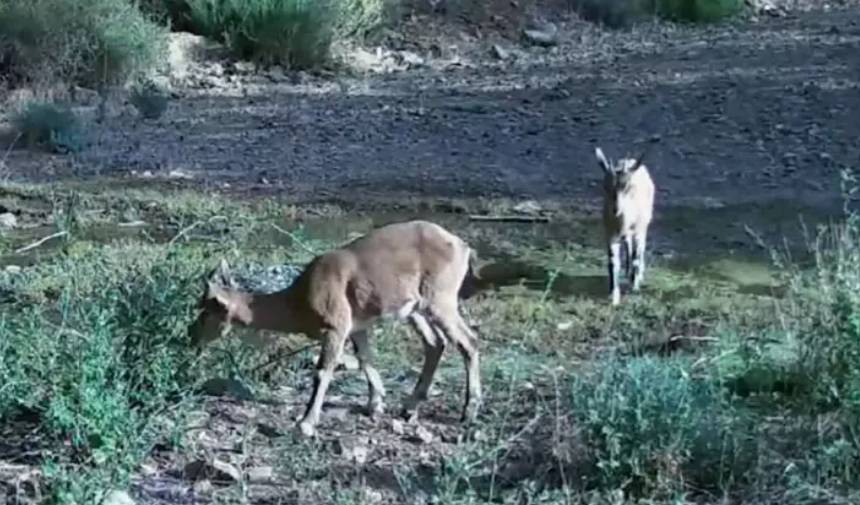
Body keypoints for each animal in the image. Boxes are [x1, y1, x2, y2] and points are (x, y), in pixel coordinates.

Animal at [188, 219, 480, 436]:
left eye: (206, 312)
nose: (191, 337)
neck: (298, 302)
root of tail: (463, 247)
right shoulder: (357, 326)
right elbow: (365, 359)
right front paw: (375, 404)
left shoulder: (335, 326)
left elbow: (322, 371)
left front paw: (305, 423)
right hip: (416, 309)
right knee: (436, 343)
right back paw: (410, 407)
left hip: (440, 299)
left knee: (468, 341)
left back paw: (469, 411)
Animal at [596, 145, 656, 304]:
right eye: (605, 186)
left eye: (628, 186)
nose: (616, 210)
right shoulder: (610, 233)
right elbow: (612, 262)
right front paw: (613, 295)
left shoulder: (638, 229)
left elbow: (636, 255)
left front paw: (634, 286)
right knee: (628, 244)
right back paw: (628, 272)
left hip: (644, 225)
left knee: (640, 247)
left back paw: (638, 274)